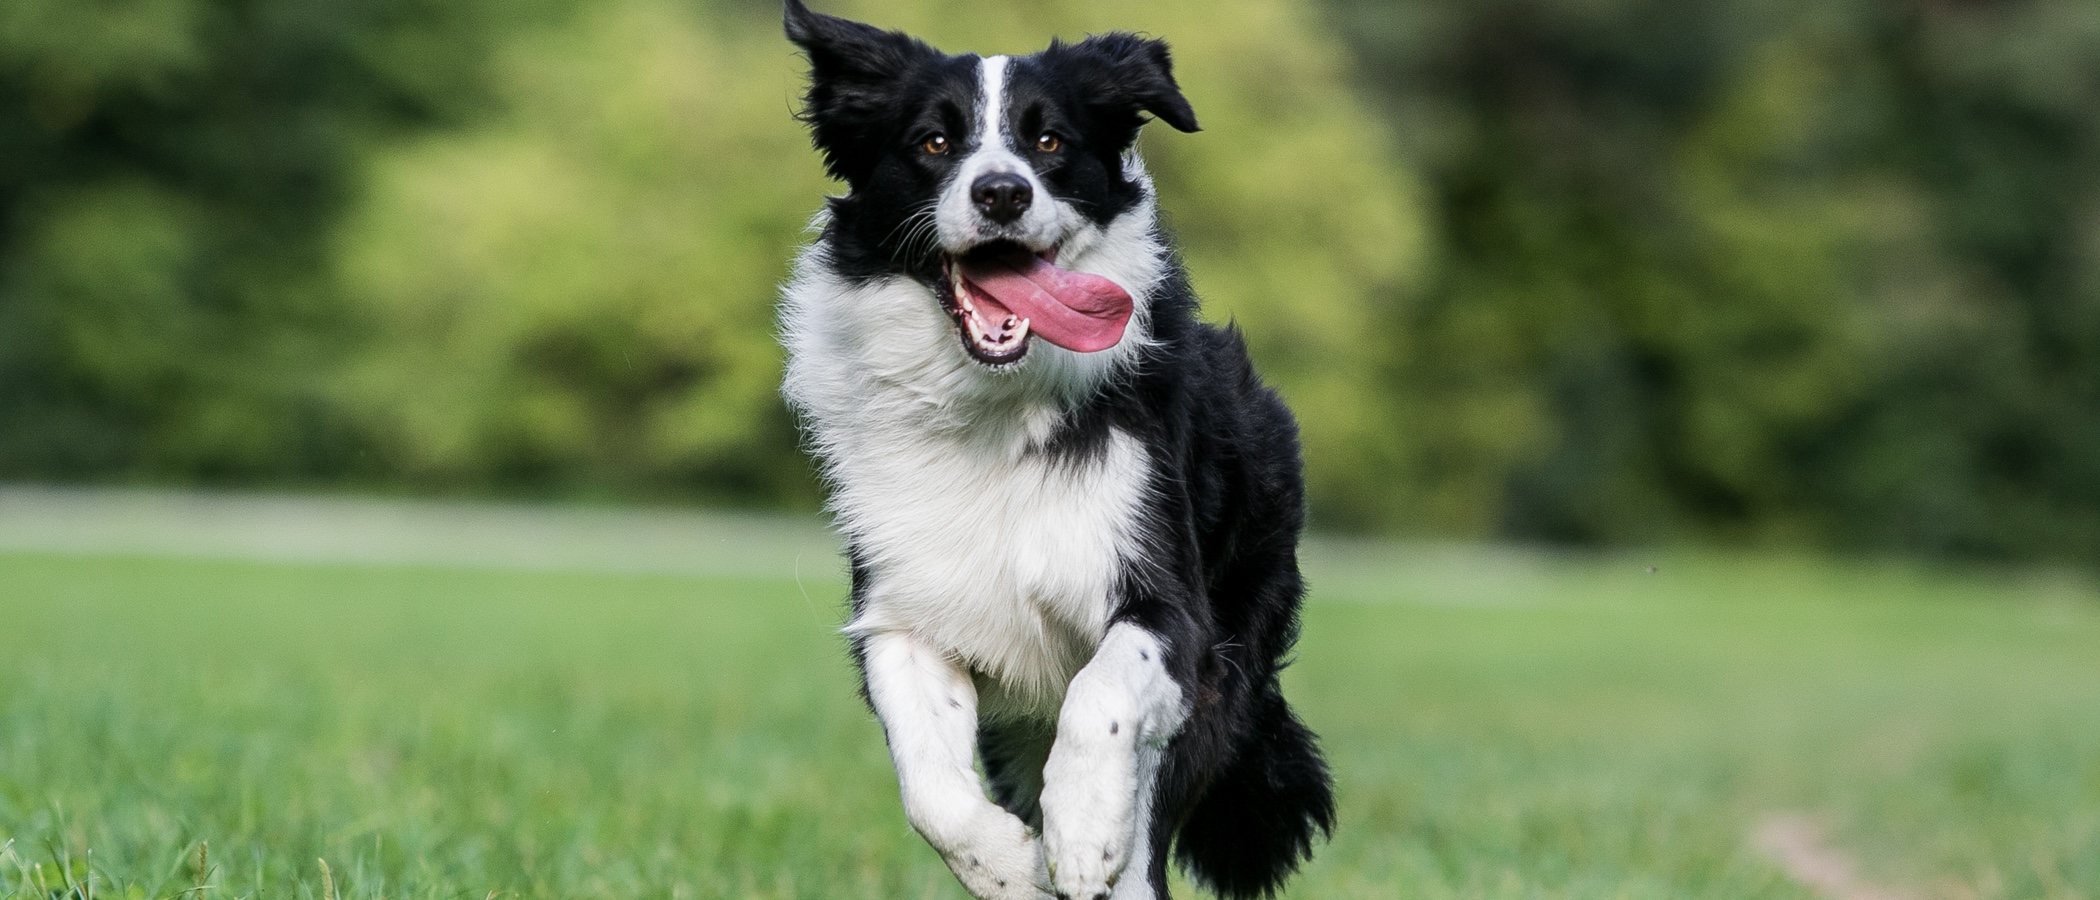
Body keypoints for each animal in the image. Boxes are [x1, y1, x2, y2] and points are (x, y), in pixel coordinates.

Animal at [781, 3, 1335, 893]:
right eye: (933, 141)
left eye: (1049, 141)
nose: (1002, 192)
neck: (994, 409)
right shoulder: (903, 614)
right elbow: (930, 788)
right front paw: (1007, 864)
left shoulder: (1171, 611)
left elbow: (1101, 696)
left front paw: (1080, 832)